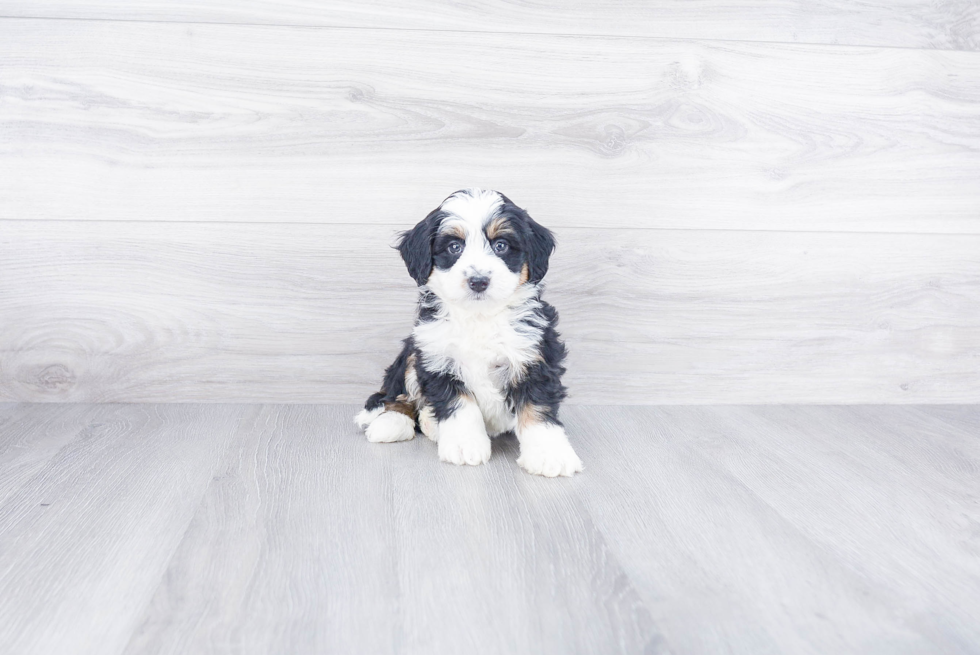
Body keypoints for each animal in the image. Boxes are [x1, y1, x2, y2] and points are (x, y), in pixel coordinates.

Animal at [352, 188, 580, 476]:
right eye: (454, 247)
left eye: (501, 245)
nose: (478, 281)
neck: (479, 316)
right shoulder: (437, 357)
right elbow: (460, 406)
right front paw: (464, 445)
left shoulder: (534, 355)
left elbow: (538, 407)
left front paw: (549, 454)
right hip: (412, 353)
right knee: (399, 394)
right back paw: (392, 423)